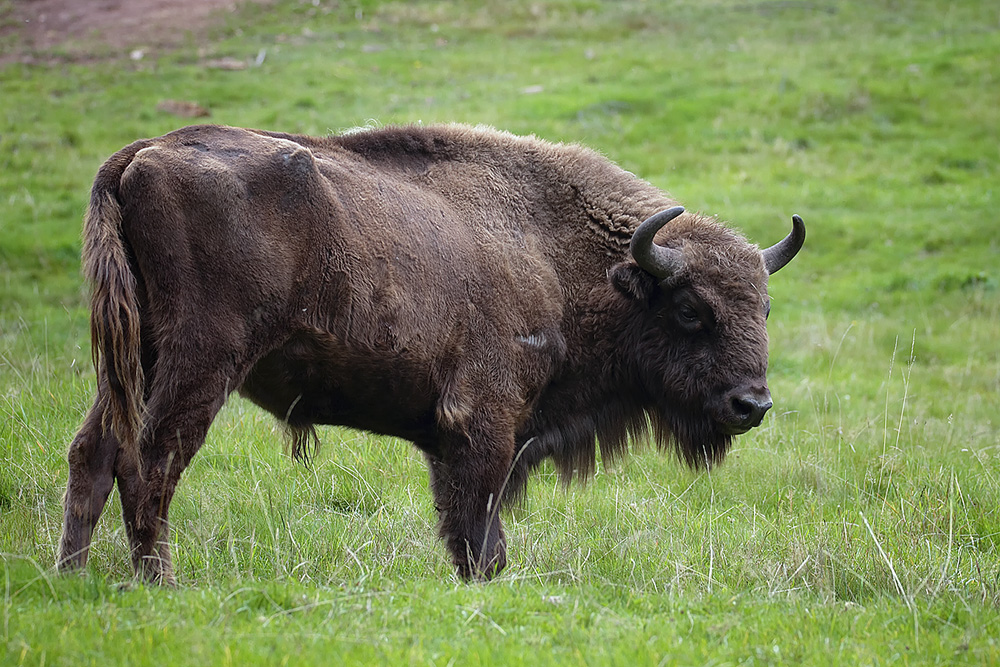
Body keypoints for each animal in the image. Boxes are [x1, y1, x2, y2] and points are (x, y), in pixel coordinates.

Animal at [56, 122, 804, 580]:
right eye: (691, 310)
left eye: (764, 307)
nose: (752, 404)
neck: (560, 255)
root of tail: (143, 154)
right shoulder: (485, 426)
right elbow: (476, 531)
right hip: (199, 362)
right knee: (150, 464)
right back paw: (160, 583)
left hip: (134, 362)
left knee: (94, 452)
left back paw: (72, 576)